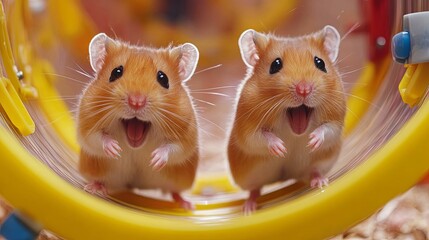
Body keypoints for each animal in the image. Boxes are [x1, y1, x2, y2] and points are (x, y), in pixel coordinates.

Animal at [76, 32, 199, 209]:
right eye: (116, 72)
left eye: (163, 78)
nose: (136, 102)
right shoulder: (87, 122)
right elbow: (96, 138)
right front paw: (115, 149)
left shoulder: (186, 134)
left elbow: (174, 148)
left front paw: (154, 159)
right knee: (102, 181)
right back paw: (93, 188)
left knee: (174, 192)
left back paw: (187, 205)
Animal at [227, 25, 344, 214]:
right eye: (275, 65)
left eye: (320, 63)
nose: (304, 89)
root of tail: (285, 179)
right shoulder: (247, 129)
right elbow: (260, 137)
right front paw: (281, 149)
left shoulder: (336, 119)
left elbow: (328, 129)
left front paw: (312, 141)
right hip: (251, 177)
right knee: (255, 190)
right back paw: (249, 208)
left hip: (321, 163)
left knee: (314, 171)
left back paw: (320, 183)